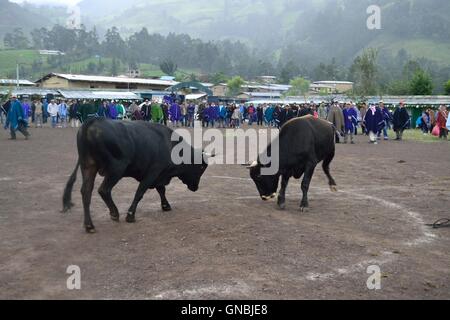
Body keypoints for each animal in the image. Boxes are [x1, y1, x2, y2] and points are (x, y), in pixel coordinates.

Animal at [62, 118, 211, 232]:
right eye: (202, 166)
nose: (195, 187)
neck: (170, 145)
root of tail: (93, 121)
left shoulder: (159, 175)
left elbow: (161, 189)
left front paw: (165, 205)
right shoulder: (153, 172)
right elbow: (140, 192)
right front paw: (130, 215)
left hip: (88, 166)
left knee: (86, 192)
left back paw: (89, 225)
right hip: (116, 169)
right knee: (104, 190)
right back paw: (114, 213)